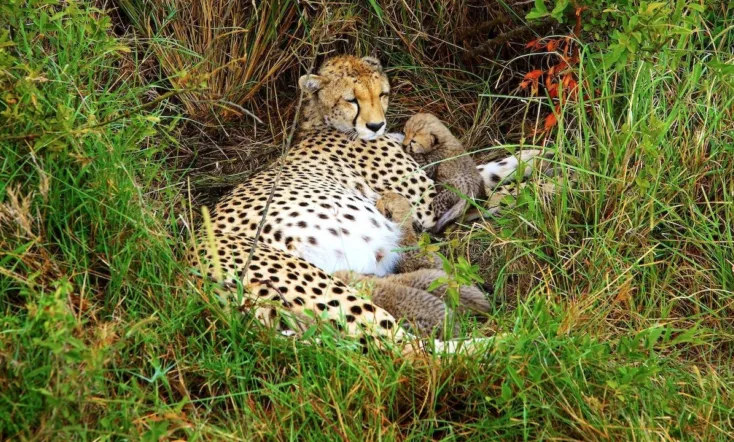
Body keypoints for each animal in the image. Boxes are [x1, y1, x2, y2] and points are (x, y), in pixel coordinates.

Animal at [189, 55, 548, 354]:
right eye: (352, 99)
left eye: (382, 94)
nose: (377, 125)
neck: (326, 124)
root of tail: (190, 273)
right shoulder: (427, 208)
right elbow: (486, 188)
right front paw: (543, 187)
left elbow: (487, 171)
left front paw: (537, 156)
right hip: (322, 286)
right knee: (407, 351)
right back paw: (516, 343)